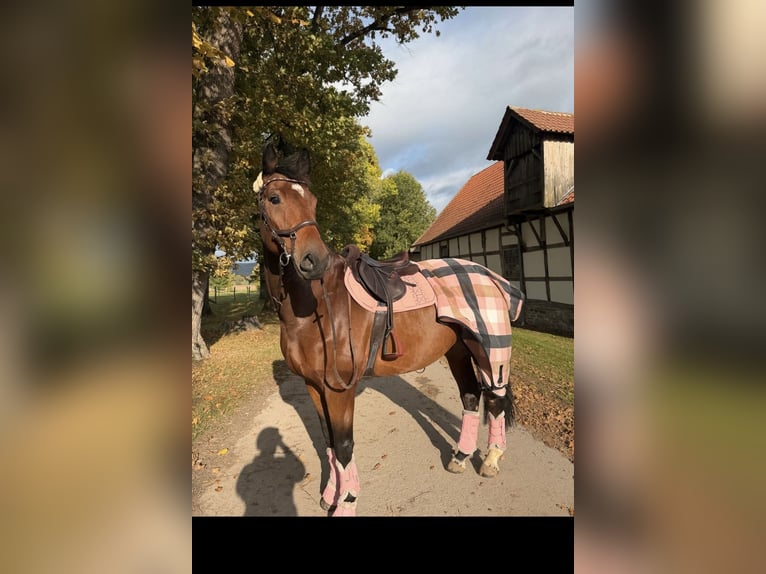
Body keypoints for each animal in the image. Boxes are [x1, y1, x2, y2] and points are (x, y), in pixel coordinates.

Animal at [254, 142, 524, 516]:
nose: (314, 260)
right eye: (274, 198)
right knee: (471, 395)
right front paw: (330, 495)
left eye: (313, 202)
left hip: (490, 349)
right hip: (458, 350)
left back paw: (491, 460)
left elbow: (344, 445)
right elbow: (327, 440)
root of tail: (489, 275)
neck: (313, 309)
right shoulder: (313, 386)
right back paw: (460, 456)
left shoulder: (339, 390)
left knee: (495, 399)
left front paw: (347, 502)